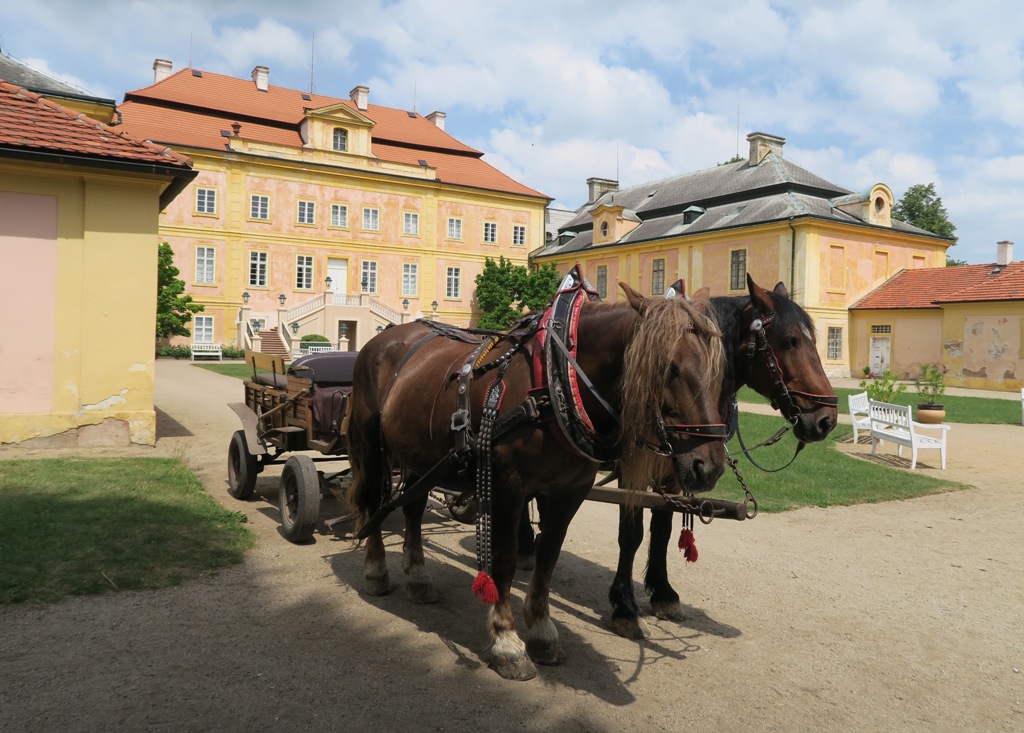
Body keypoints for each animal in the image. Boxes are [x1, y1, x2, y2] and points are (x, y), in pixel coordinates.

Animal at [350, 280, 729, 679]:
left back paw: (418, 577)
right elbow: (503, 560)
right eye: (669, 367)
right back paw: (376, 571)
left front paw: (542, 631)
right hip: (371, 443)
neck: (556, 382)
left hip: (418, 453)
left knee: (412, 508)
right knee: (374, 504)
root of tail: (384, 337)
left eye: (718, 372)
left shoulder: (569, 492)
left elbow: (548, 558)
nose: (709, 466)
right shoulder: (508, 485)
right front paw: (506, 641)